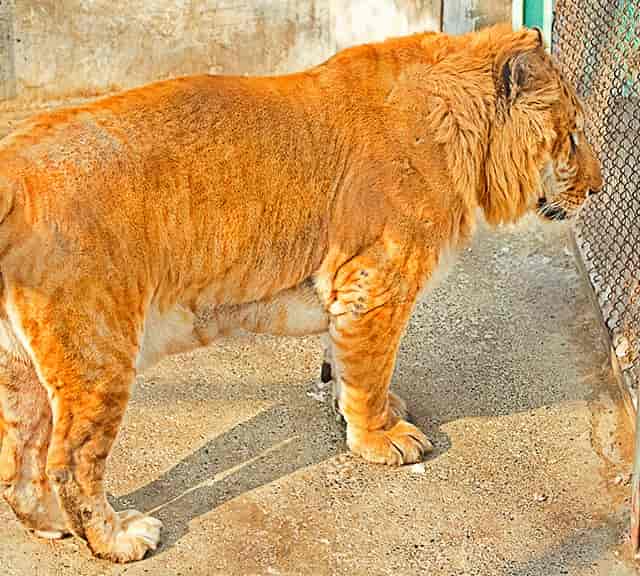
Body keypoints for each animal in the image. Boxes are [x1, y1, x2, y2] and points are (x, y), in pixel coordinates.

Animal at [0, 24, 604, 560]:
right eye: (573, 137)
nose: (599, 190)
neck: (459, 125)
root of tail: (15, 170)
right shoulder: (376, 281)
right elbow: (369, 372)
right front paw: (379, 438)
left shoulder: (350, 291)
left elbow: (347, 362)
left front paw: (364, 408)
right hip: (100, 350)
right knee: (70, 460)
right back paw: (116, 540)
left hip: (21, 370)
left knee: (19, 459)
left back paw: (51, 524)